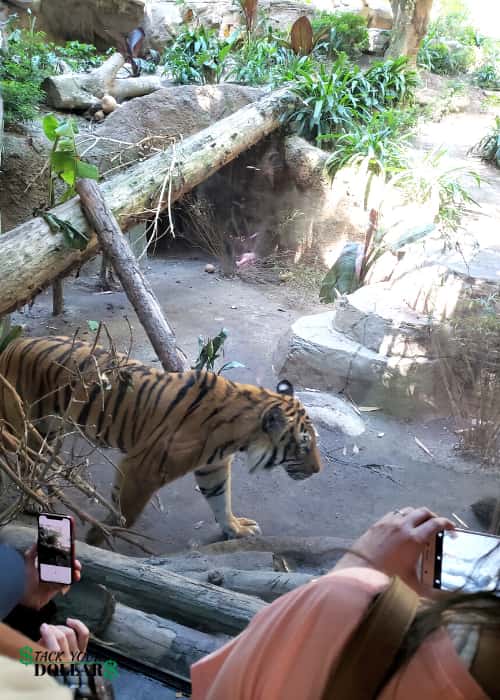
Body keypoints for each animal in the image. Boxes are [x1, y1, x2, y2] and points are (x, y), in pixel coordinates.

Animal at [0, 336, 322, 545]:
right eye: (304, 445)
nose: (318, 470)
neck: (238, 435)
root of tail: (13, 344)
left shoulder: (214, 467)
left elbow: (220, 500)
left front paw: (236, 529)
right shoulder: (144, 468)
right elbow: (126, 513)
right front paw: (98, 537)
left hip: (50, 428)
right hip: (28, 422)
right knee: (23, 461)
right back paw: (35, 500)